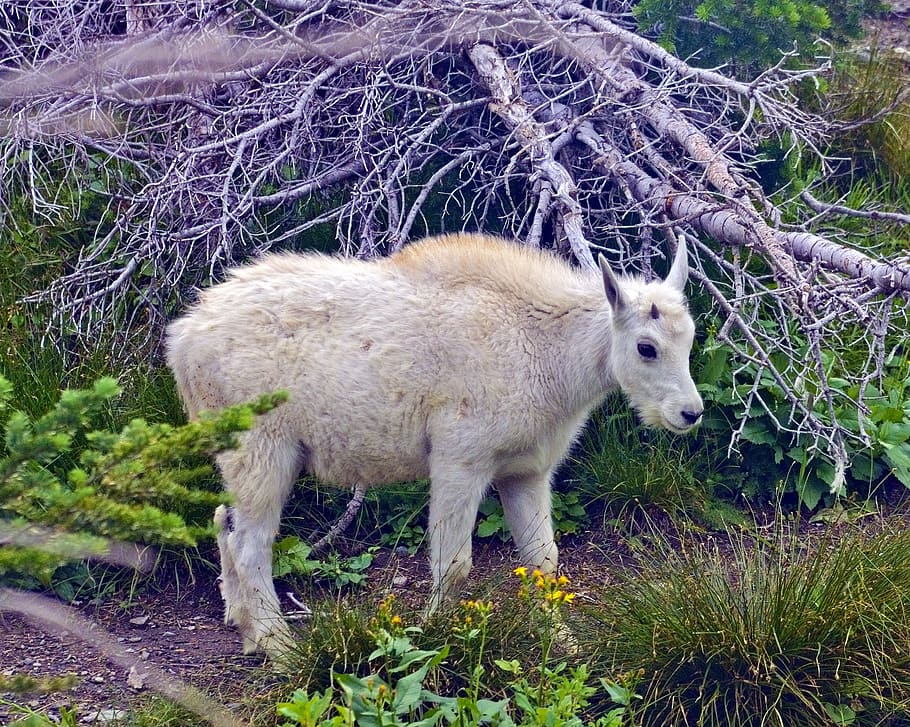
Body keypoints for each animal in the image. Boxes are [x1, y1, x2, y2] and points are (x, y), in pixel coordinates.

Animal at [166, 233, 704, 660]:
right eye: (647, 347)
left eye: (690, 338)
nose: (690, 412)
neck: (549, 351)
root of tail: (182, 342)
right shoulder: (460, 461)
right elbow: (455, 563)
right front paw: (437, 636)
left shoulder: (526, 470)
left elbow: (543, 560)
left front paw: (561, 641)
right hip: (263, 448)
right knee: (251, 544)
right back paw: (277, 645)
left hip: (240, 454)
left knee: (224, 521)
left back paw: (244, 627)